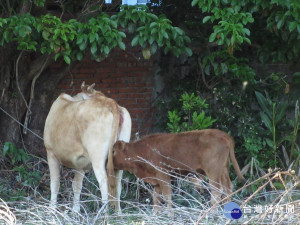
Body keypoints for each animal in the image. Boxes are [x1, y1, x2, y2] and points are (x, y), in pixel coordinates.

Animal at [43, 83, 131, 213]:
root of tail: (109, 102)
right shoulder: (81, 161)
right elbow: (77, 184)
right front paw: (75, 210)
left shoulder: (51, 153)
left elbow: (55, 182)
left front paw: (52, 209)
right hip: (118, 159)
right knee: (117, 184)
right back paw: (118, 214)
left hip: (97, 157)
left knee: (104, 182)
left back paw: (104, 214)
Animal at [112, 128, 246, 214]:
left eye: (113, 151)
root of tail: (224, 136)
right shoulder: (157, 180)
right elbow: (156, 199)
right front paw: (155, 216)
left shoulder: (163, 175)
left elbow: (167, 197)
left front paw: (170, 216)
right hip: (223, 170)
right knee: (228, 189)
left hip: (213, 171)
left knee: (217, 191)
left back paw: (211, 214)